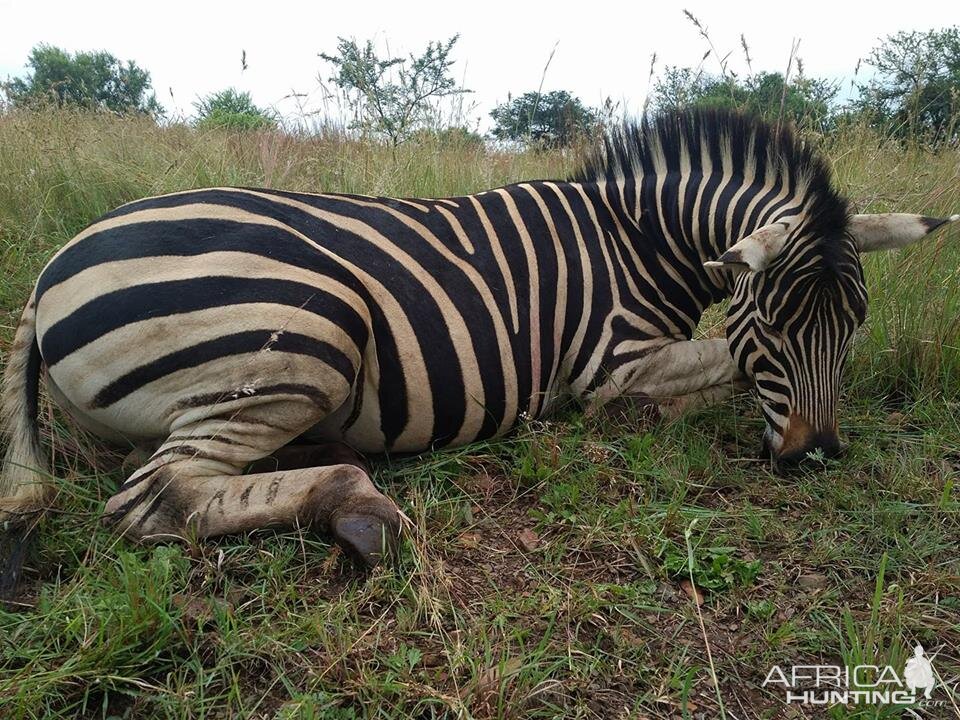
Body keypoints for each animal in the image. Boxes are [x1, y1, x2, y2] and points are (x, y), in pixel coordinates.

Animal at [3, 111, 956, 584]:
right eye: (777, 328)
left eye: (854, 328)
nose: (812, 456)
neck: (639, 239)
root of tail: (51, 267)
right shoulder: (607, 366)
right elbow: (713, 361)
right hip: (309, 334)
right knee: (156, 498)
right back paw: (358, 508)